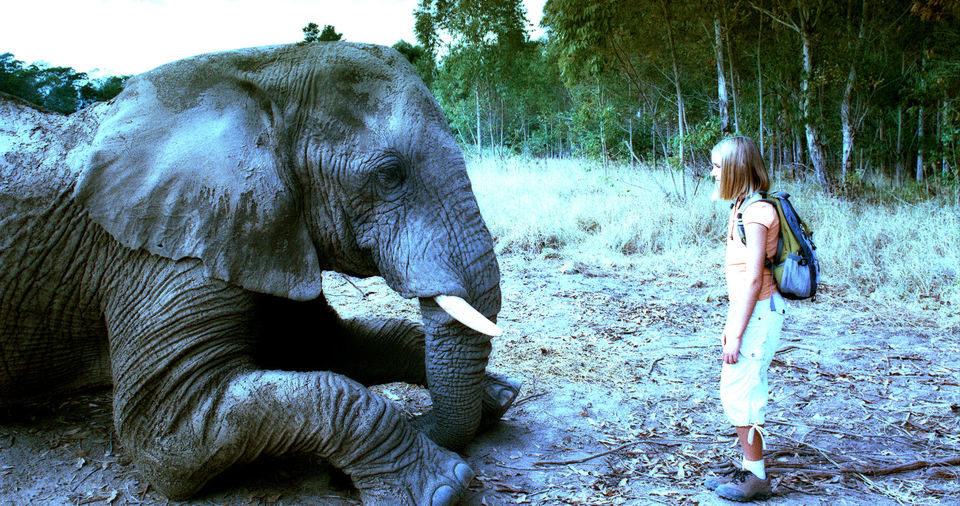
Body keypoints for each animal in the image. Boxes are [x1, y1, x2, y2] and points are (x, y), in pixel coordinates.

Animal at [0, 42, 520, 502]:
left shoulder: (261, 235)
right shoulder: (162, 252)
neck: (259, 73)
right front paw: (443, 486)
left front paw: (499, 397)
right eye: (390, 175)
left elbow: (327, 348)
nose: (336, 479)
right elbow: (168, 432)